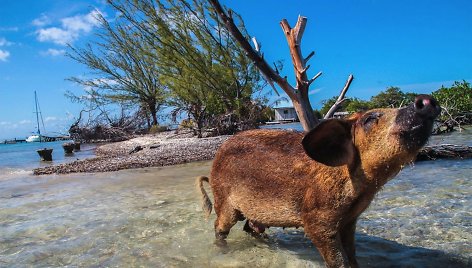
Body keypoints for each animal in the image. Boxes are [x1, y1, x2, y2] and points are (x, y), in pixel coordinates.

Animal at [197, 94, 440, 266]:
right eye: (370, 119)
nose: (426, 100)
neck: (364, 188)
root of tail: (214, 163)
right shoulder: (316, 218)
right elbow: (337, 259)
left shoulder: (350, 220)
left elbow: (352, 254)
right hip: (224, 201)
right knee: (220, 226)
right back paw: (223, 250)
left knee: (251, 227)